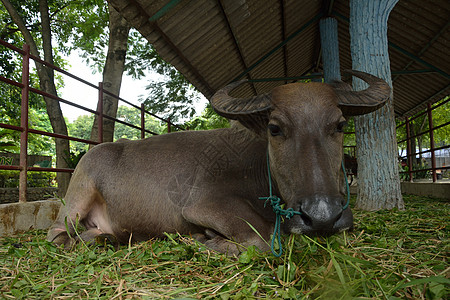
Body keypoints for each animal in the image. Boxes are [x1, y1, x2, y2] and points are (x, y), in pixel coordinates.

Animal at [46, 70, 390, 255]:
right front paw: (207, 239)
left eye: (340, 124)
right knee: (56, 234)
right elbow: (262, 239)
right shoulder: (205, 206)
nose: (322, 216)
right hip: (77, 195)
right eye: (274, 128)